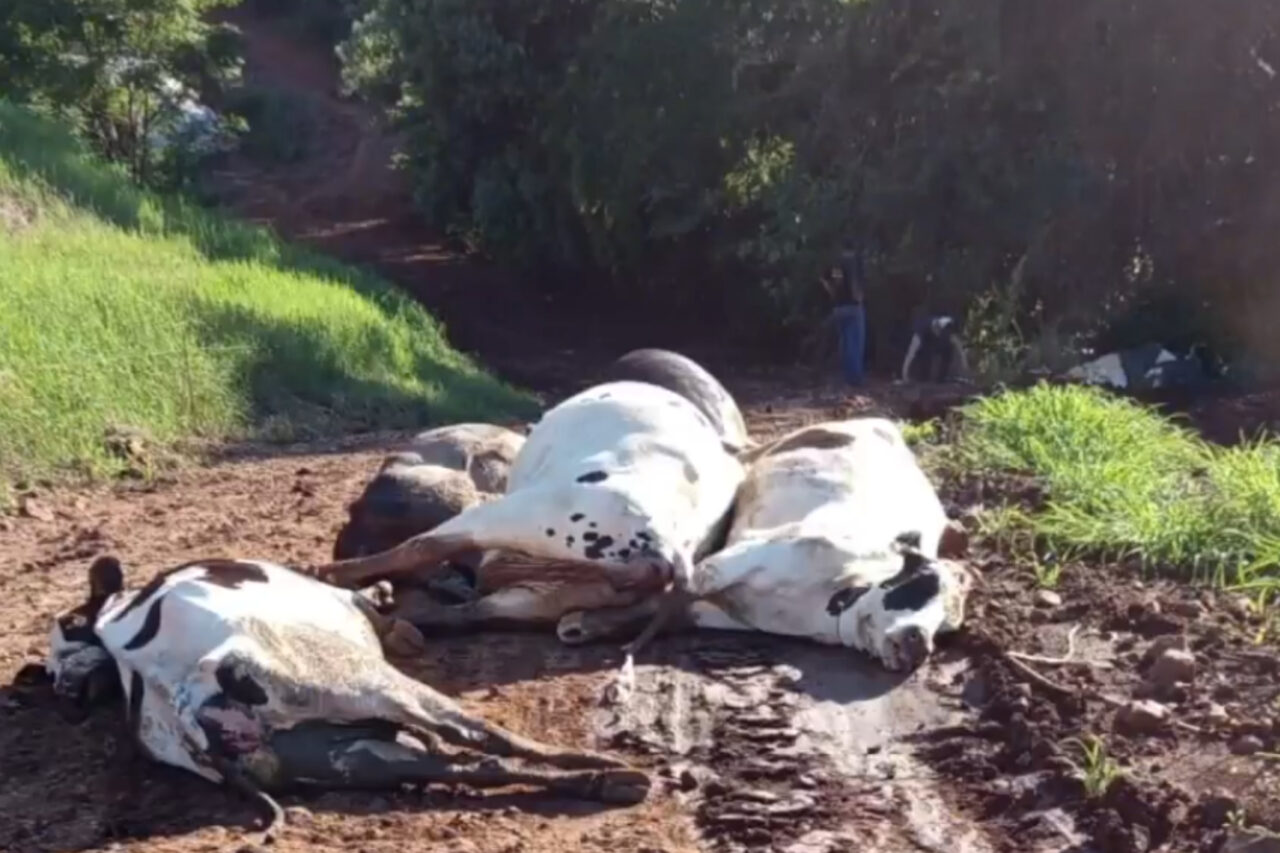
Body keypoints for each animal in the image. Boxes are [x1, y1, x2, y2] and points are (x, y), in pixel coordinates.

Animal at [44, 556, 651, 839]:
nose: (64, 685)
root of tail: (182, 702)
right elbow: (383, 614)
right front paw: (393, 611)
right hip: (365, 683)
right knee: (482, 738)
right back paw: (605, 768)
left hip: (347, 757)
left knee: (468, 767)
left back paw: (607, 783)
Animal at [556, 418, 975, 672]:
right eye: (924, 585)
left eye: (946, 630)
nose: (921, 646)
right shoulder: (742, 556)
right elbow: (677, 592)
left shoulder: (726, 614)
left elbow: (670, 610)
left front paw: (585, 625)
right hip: (767, 450)